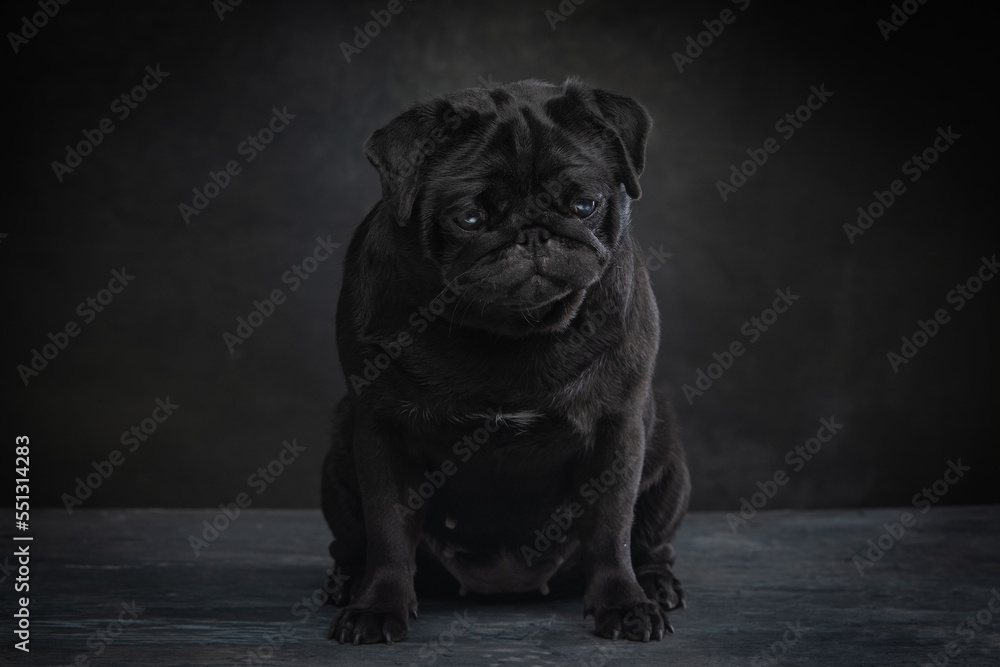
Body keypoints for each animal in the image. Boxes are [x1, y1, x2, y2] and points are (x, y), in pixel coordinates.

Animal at [324, 78, 692, 648]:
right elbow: (387, 528)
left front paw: (624, 603)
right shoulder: (381, 432)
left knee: (650, 543)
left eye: (584, 205)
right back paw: (345, 584)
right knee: (350, 546)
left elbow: (612, 529)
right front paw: (377, 604)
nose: (534, 231)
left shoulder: (617, 431)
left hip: (668, 461)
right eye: (470, 218)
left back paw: (656, 583)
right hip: (339, 453)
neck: (507, 330)